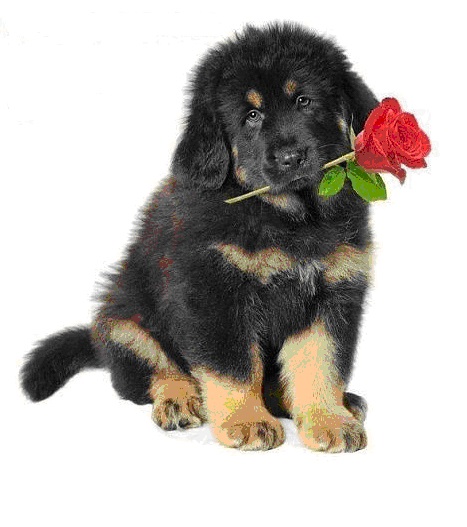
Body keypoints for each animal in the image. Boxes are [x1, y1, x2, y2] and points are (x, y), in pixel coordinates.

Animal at [21, 23, 378, 452]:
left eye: (304, 101)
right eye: (251, 116)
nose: (291, 157)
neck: (289, 216)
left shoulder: (334, 291)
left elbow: (321, 360)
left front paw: (328, 419)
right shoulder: (214, 292)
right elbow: (235, 365)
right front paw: (246, 421)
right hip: (122, 322)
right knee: (153, 373)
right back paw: (179, 400)